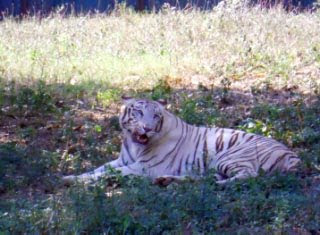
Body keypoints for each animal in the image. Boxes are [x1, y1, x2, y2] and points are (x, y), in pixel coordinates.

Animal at [62, 97, 300, 185]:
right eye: (138, 112)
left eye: (156, 116)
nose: (147, 128)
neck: (134, 143)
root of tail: (293, 155)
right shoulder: (122, 161)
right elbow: (99, 169)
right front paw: (71, 176)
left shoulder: (143, 167)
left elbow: (107, 173)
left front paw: (78, 181)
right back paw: (167, 181)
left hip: (230, 156)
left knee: (247, 176)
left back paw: (219, 185)